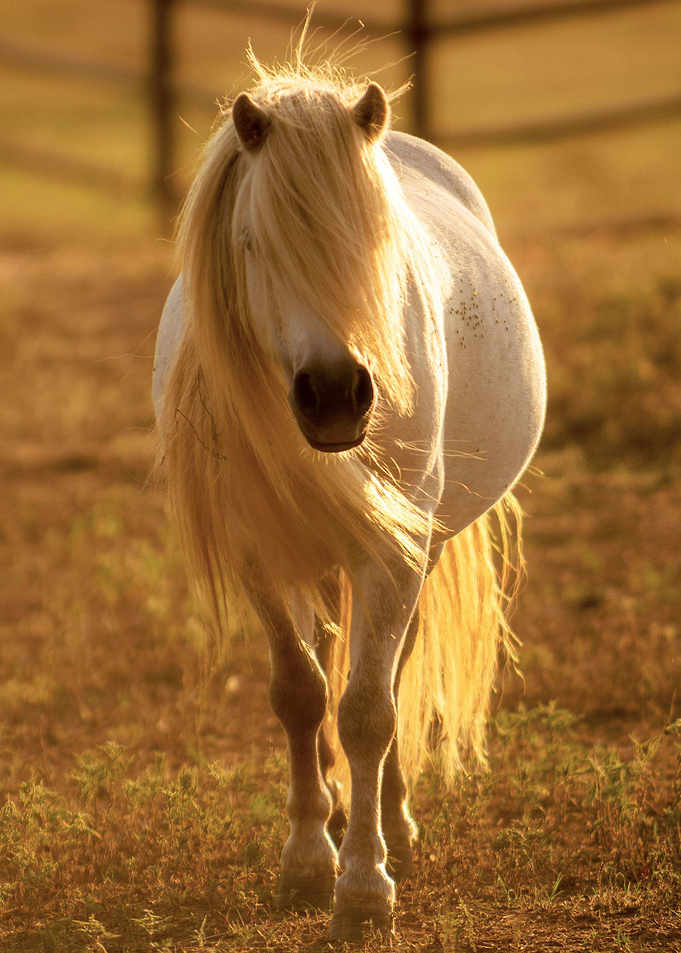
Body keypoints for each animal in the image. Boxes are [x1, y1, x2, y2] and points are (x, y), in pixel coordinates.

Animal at [152, 53, 546, 942]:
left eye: (377, 243)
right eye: (252, 245)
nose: (336, 395)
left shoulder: (390, 552)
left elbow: (368, 708)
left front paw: (365, 885)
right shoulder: (260, 549)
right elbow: (300, 694)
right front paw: (306, 857)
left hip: (417, 550)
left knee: (392, 674)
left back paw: (390, 822)